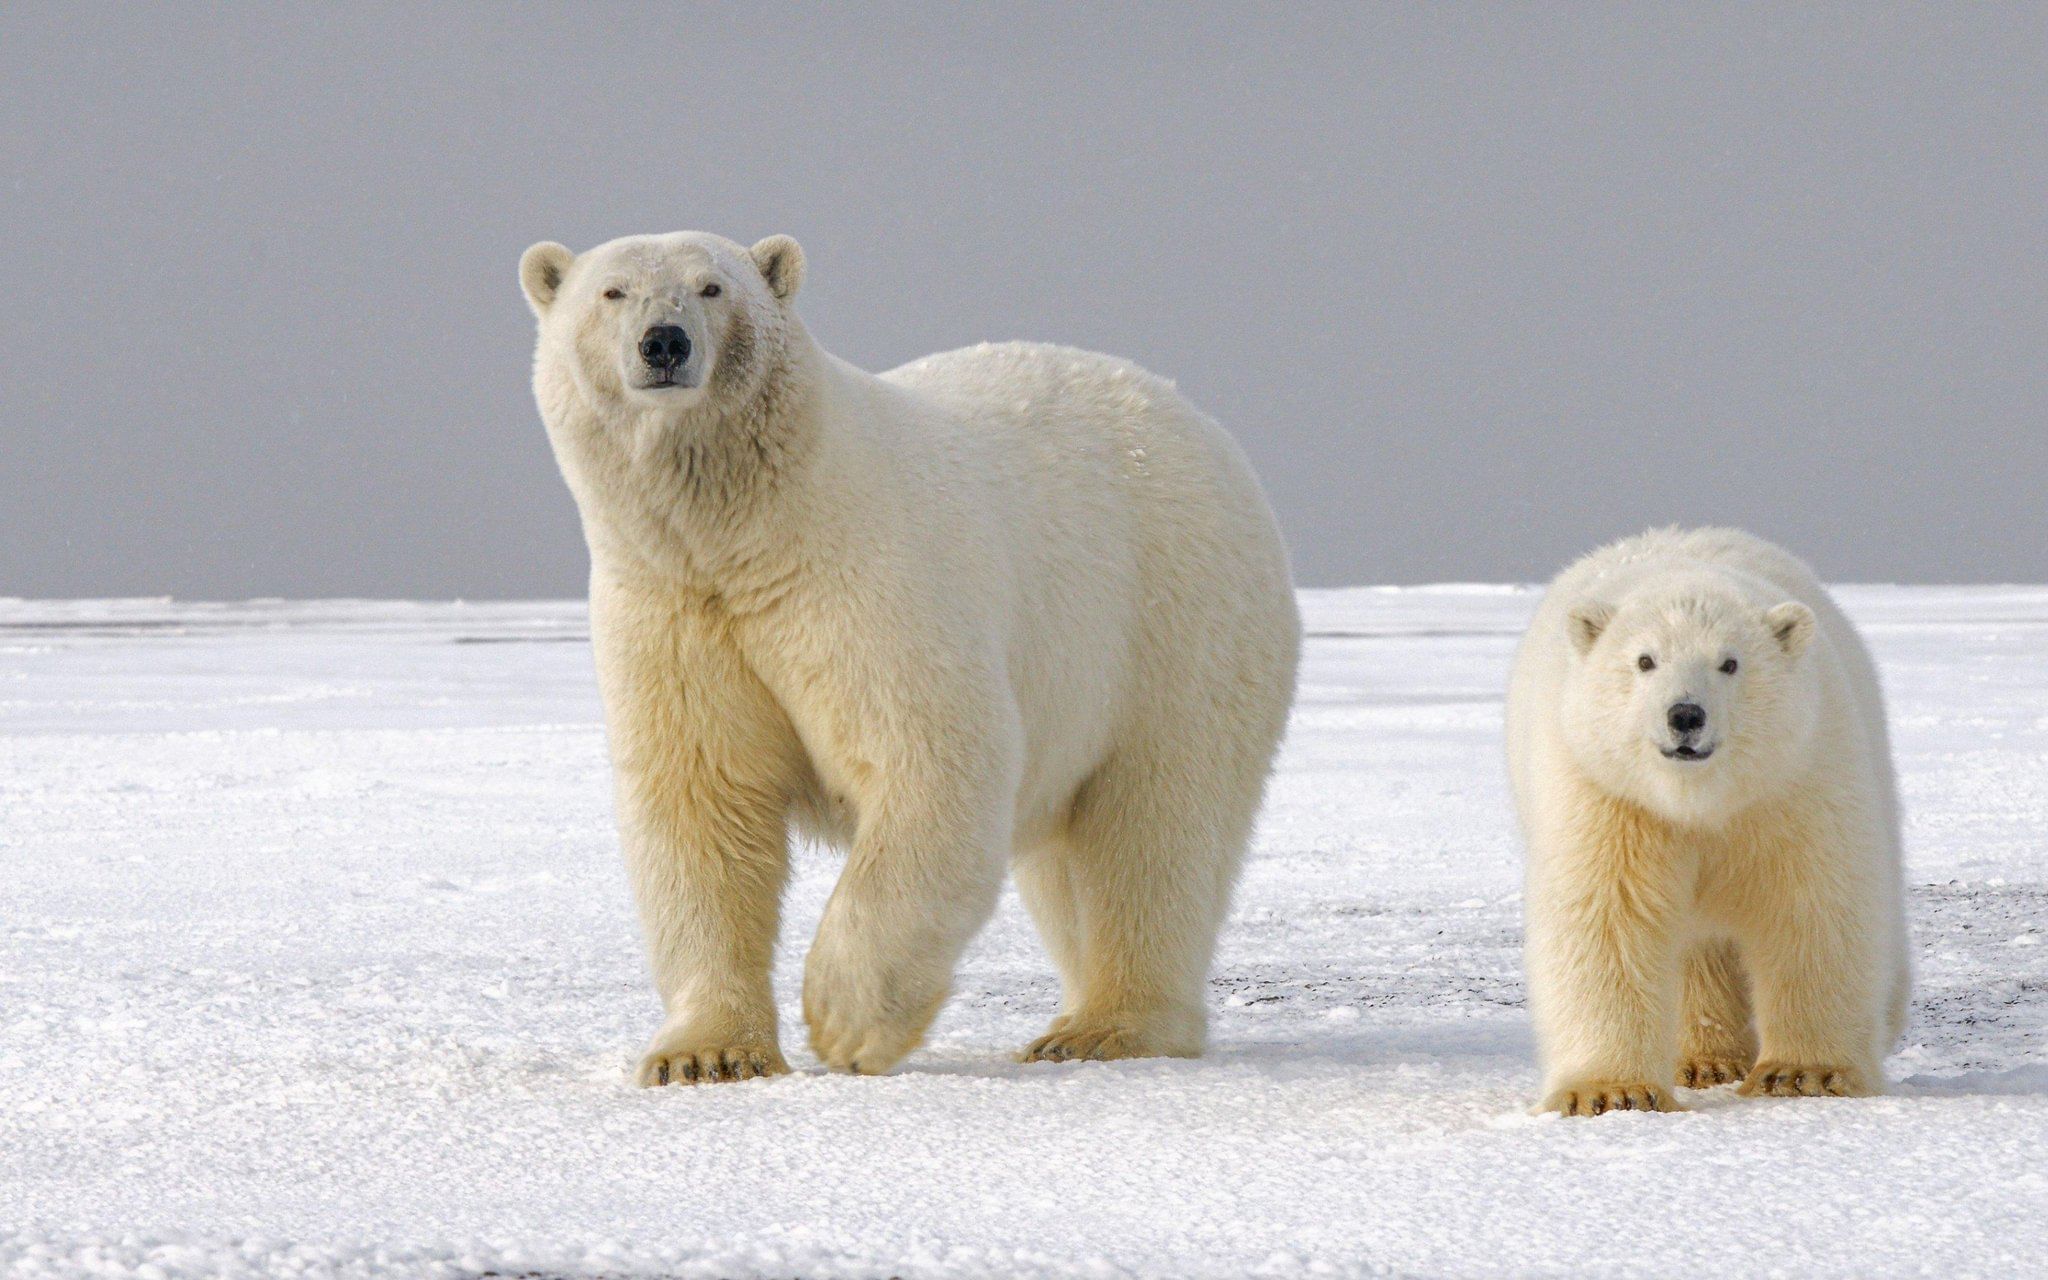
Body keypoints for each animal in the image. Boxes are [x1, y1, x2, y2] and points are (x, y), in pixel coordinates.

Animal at [524, 227, 1294, 1081]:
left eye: (712, 287)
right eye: (613, 292)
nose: (665, 342)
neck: (749, 531)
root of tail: (1201, 423)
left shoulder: (863, 579)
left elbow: (930, 757)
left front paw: (844, 1020)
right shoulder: (672, 609)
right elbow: (702, 803)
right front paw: (705, 1054)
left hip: (1173, 621)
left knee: (1154, 826)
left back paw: (1106, 1027)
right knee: (1070, 861)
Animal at [1507, 524, 1900, 1114]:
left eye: (1730, 662)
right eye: (1645, 660)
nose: (1685, 714)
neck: (1700, 800)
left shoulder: (1795, 781)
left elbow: (1812, 906)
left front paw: (1801, 1073)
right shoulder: (1608, 795)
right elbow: (1607, 917)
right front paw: (1611, 1091)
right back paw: (1704, 1060)